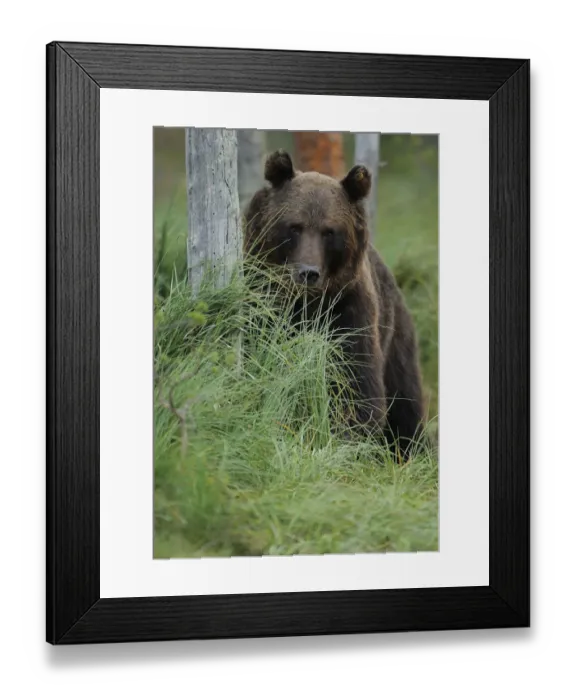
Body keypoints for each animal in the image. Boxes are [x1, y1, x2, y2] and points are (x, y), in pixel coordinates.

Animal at [243, 149, 425, 457]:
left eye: (329, 231)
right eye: (294, 227)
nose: (308, 273)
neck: (305, 304)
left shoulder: (348, 311)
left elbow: (355, 384)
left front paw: (344, 439)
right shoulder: (261, 300)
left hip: (396, 335)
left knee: (406, 403)